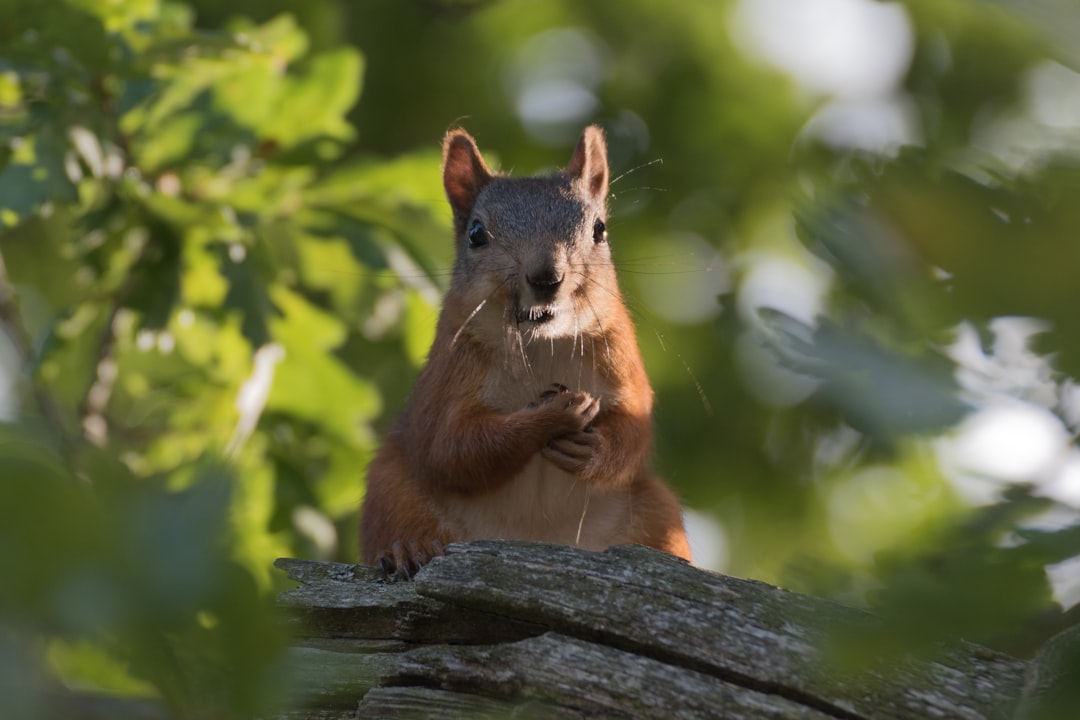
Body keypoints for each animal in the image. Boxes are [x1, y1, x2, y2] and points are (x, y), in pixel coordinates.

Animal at [358, 125, 686, 578]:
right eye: (477, 234)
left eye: (599, 229)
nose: (547, 277)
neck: (540, 342)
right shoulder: (450, 373)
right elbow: (452, 447)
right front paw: (549, 417)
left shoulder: (621, 360)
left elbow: (634, 429)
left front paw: (594, 448)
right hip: (392, 488)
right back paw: (410, 548)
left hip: (656, 511)